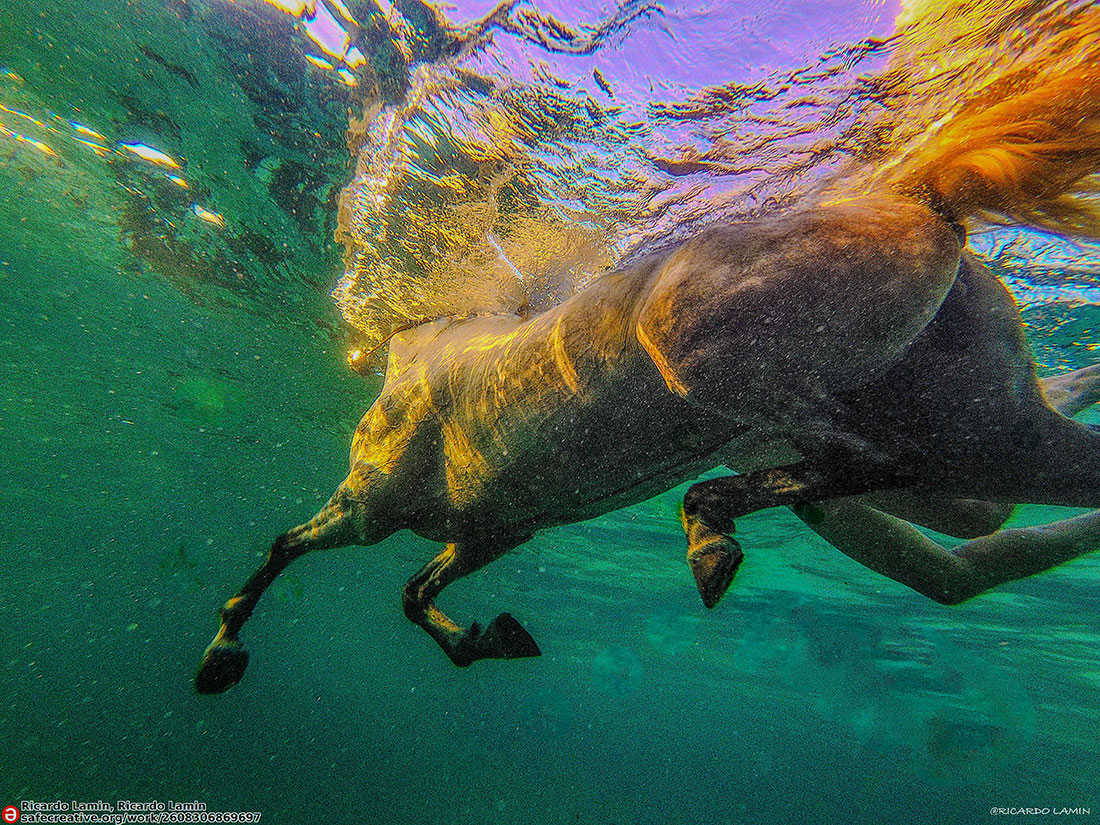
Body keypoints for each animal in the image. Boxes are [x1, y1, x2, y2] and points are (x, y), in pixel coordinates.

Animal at [195, 6, 1100, 693]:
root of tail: (925, 198)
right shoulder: (495, 526)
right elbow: (417, 592)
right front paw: (496, 635)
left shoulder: (366, 506)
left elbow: (286, 547)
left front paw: (222, 651)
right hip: (984, 435)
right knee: (978, 495)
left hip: (711, 364)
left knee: (872, 462)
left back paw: (710, 540)